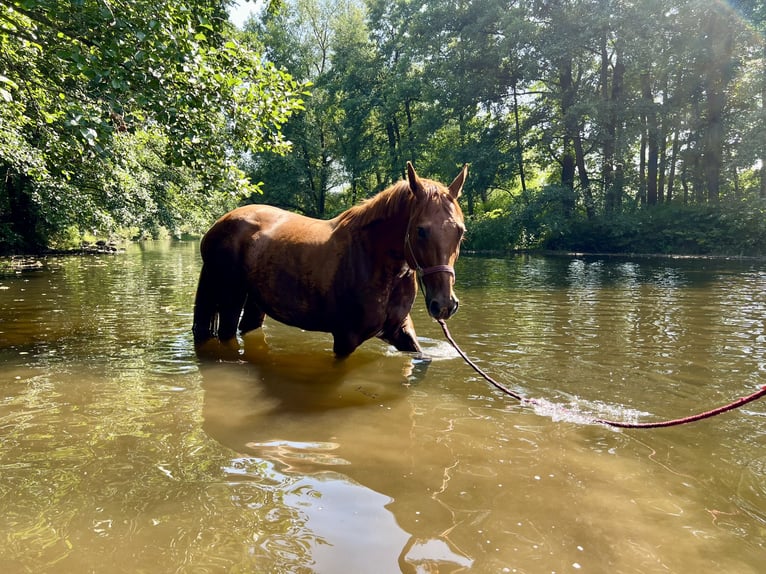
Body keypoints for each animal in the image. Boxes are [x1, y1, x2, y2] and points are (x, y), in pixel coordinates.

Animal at [192, 162, 468, 358]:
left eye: (460, 231)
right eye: (421, 230)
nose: (445, 304)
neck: (372, 258)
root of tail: (218, 224)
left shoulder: (400, 330)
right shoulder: (346, 339)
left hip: (256, 302)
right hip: (230, 298)